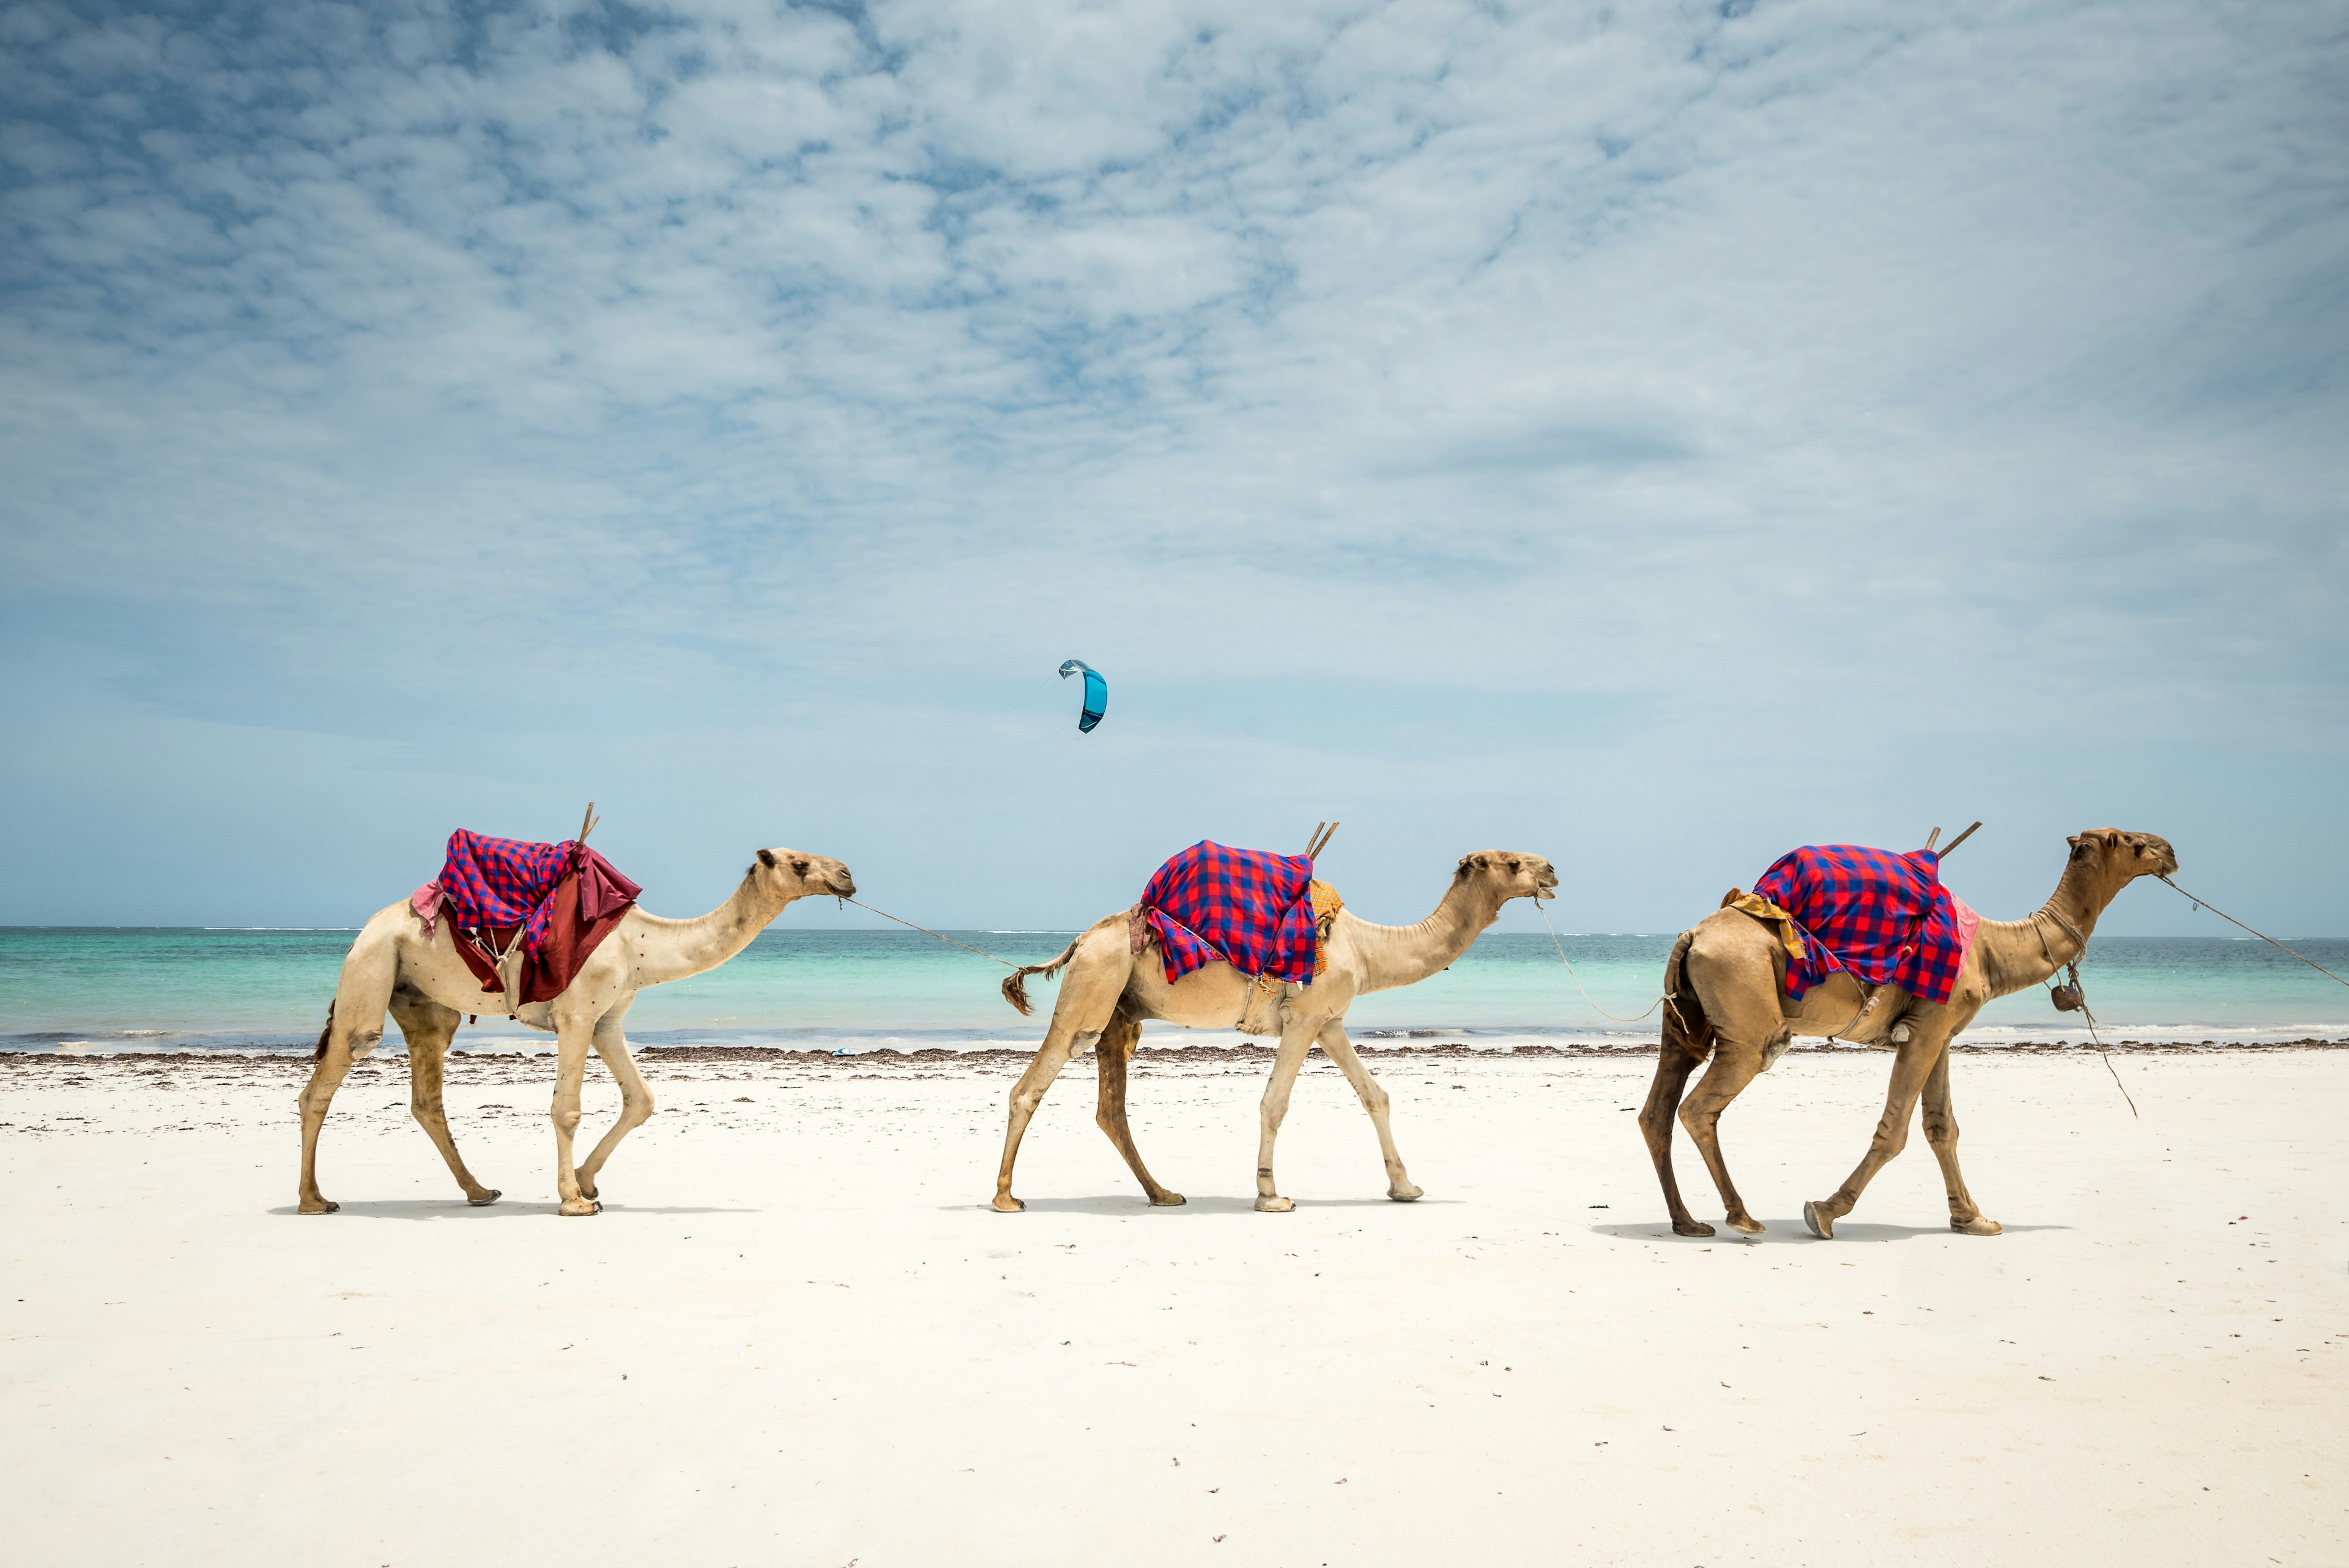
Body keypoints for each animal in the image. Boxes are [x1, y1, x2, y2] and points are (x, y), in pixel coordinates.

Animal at [295, 851, 855, 1222]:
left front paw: (588, 1179)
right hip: (370, 971)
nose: (847, 875)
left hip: (424, 1003)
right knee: (324, 1082)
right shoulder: (576, 1016)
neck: (639, 944)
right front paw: (574, 1199)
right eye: (799, 862)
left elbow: (641, 1099)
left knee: (427, 1097)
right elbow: (566, 1109)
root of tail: (363, 932)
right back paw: (313, 1199)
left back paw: (479, 1190)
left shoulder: (607, 1019)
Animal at [982, 860, 1550, 1213]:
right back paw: (1006, 1197)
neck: (1367, 948)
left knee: (1111, 1111)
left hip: (1121, 1013)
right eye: (1512, 862)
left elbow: (1375, 1095)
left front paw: (1405, 1186)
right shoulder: (1304, 1017)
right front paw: (1271, 1195)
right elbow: (1275, 1102)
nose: (1551, 871)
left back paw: (1163, 1194)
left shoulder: (1329, 1020)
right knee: (1030, 1087)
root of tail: (1081, 940)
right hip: (1091, 994)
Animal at [1644, 827, 2170, 1241]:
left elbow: (1942, 1127)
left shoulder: (1940, 1032)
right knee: (1700, 1105)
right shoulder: (1925, 1031)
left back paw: (1687, 1222)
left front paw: (1973, 1219)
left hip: (1688, 1020)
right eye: (2131, 840)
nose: (2169, 849)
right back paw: (1742, 1217)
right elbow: (1894, 1130)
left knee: (1658, 1111)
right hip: (1748, 1024)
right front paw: (1825, 1212)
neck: (1991, 950)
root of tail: (1692, 935)